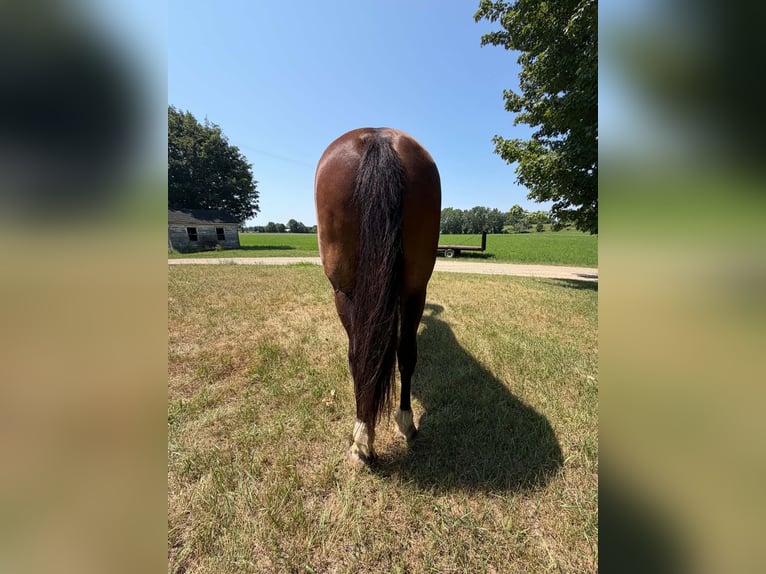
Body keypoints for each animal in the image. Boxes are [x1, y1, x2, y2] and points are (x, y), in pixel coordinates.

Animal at [314, 127, 441, 466]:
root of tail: (378, 137)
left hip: (344, 292)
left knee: (359, 354)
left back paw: (364, 436)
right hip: (415, 288)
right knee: (404, 353)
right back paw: (400, 424)